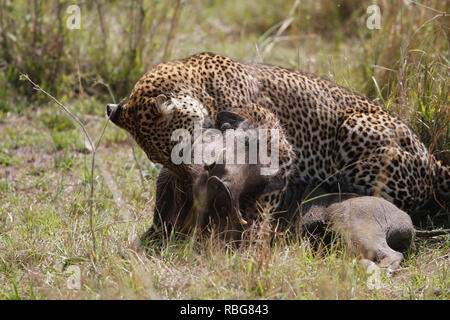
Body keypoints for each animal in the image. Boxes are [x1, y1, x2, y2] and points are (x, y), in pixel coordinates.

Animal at [107, 52, 448, 219]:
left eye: (175, 148)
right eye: (156, 158)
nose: (183, 180)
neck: (203, 91)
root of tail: (432, 159)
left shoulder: (276, 149)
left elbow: (263, 202)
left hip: (355, 128)